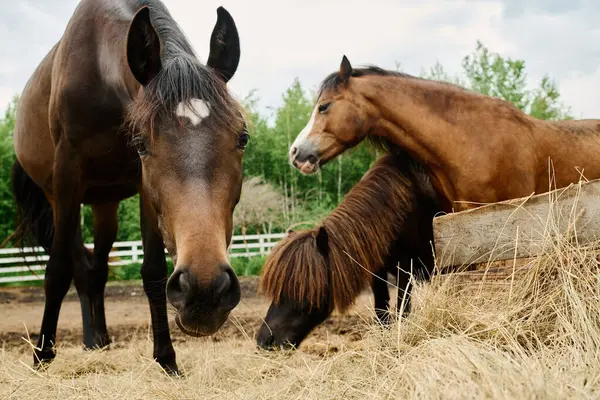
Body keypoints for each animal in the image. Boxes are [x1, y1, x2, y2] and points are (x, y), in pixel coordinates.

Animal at [14, 0, 248, 376]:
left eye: (243, 138)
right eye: (141, 145)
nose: (205, 291)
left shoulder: (142, 188)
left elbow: (152, 270)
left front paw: (166, 358)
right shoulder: (67, 175)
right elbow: (57, 271)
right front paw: (41, 356)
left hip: (104, 205)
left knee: (96, 272)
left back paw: (100, 341)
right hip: (60, 198)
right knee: (79, 269)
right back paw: (85, 341)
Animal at [255, 153, 438, 350]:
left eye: (300, 287)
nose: (264, 340)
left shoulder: (405, 270)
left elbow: (402, 312)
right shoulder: (377, 272)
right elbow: (381, 313)